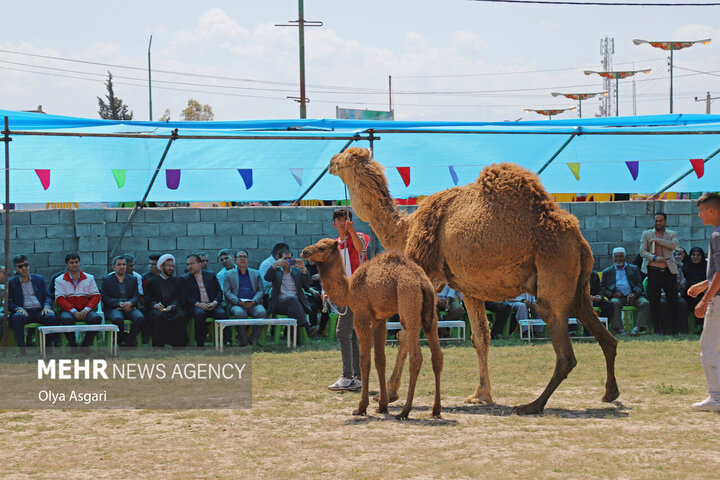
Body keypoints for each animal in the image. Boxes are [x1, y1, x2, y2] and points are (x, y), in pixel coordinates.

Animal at [300, 238, 442, 418]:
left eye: (322, 248)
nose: (305, 251)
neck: (348, 289)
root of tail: (423, 282)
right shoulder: (379, 319)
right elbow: (380, 359)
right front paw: (382, 406)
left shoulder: (361, 316)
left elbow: (364, 360)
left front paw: (361, 407)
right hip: (430, 314)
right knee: (437, 356)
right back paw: (435, 410)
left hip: (408, 305)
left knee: (416, 357)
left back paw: (404, 411)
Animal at [330, 146, 620, 412]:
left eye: (345, 157)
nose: (331, 161)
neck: (406, 230)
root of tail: (580, 241)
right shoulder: (468, 288)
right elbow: (481, 336)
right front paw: (481, 394)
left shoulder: (429, 276)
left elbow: (405, 334)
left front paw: (390, 392)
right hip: (579, 289)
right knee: (606, 336)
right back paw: (610, 393)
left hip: (554, 275)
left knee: (565, 352)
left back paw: (532, 405)